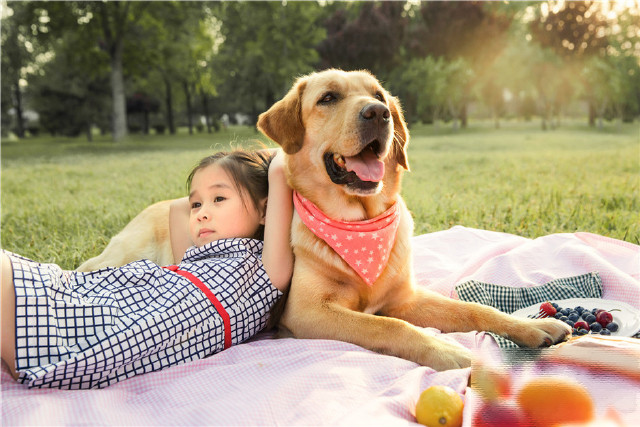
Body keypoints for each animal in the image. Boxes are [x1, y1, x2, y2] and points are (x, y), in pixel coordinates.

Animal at [255, 68, 568, 370]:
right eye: (328, 98)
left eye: (378, 95)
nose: (377, 112)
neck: (360, 225)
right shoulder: (307, 311)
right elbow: (389, 326)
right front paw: (444, 350)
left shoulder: (405, 299)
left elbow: (473, 309)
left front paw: (530, 326)